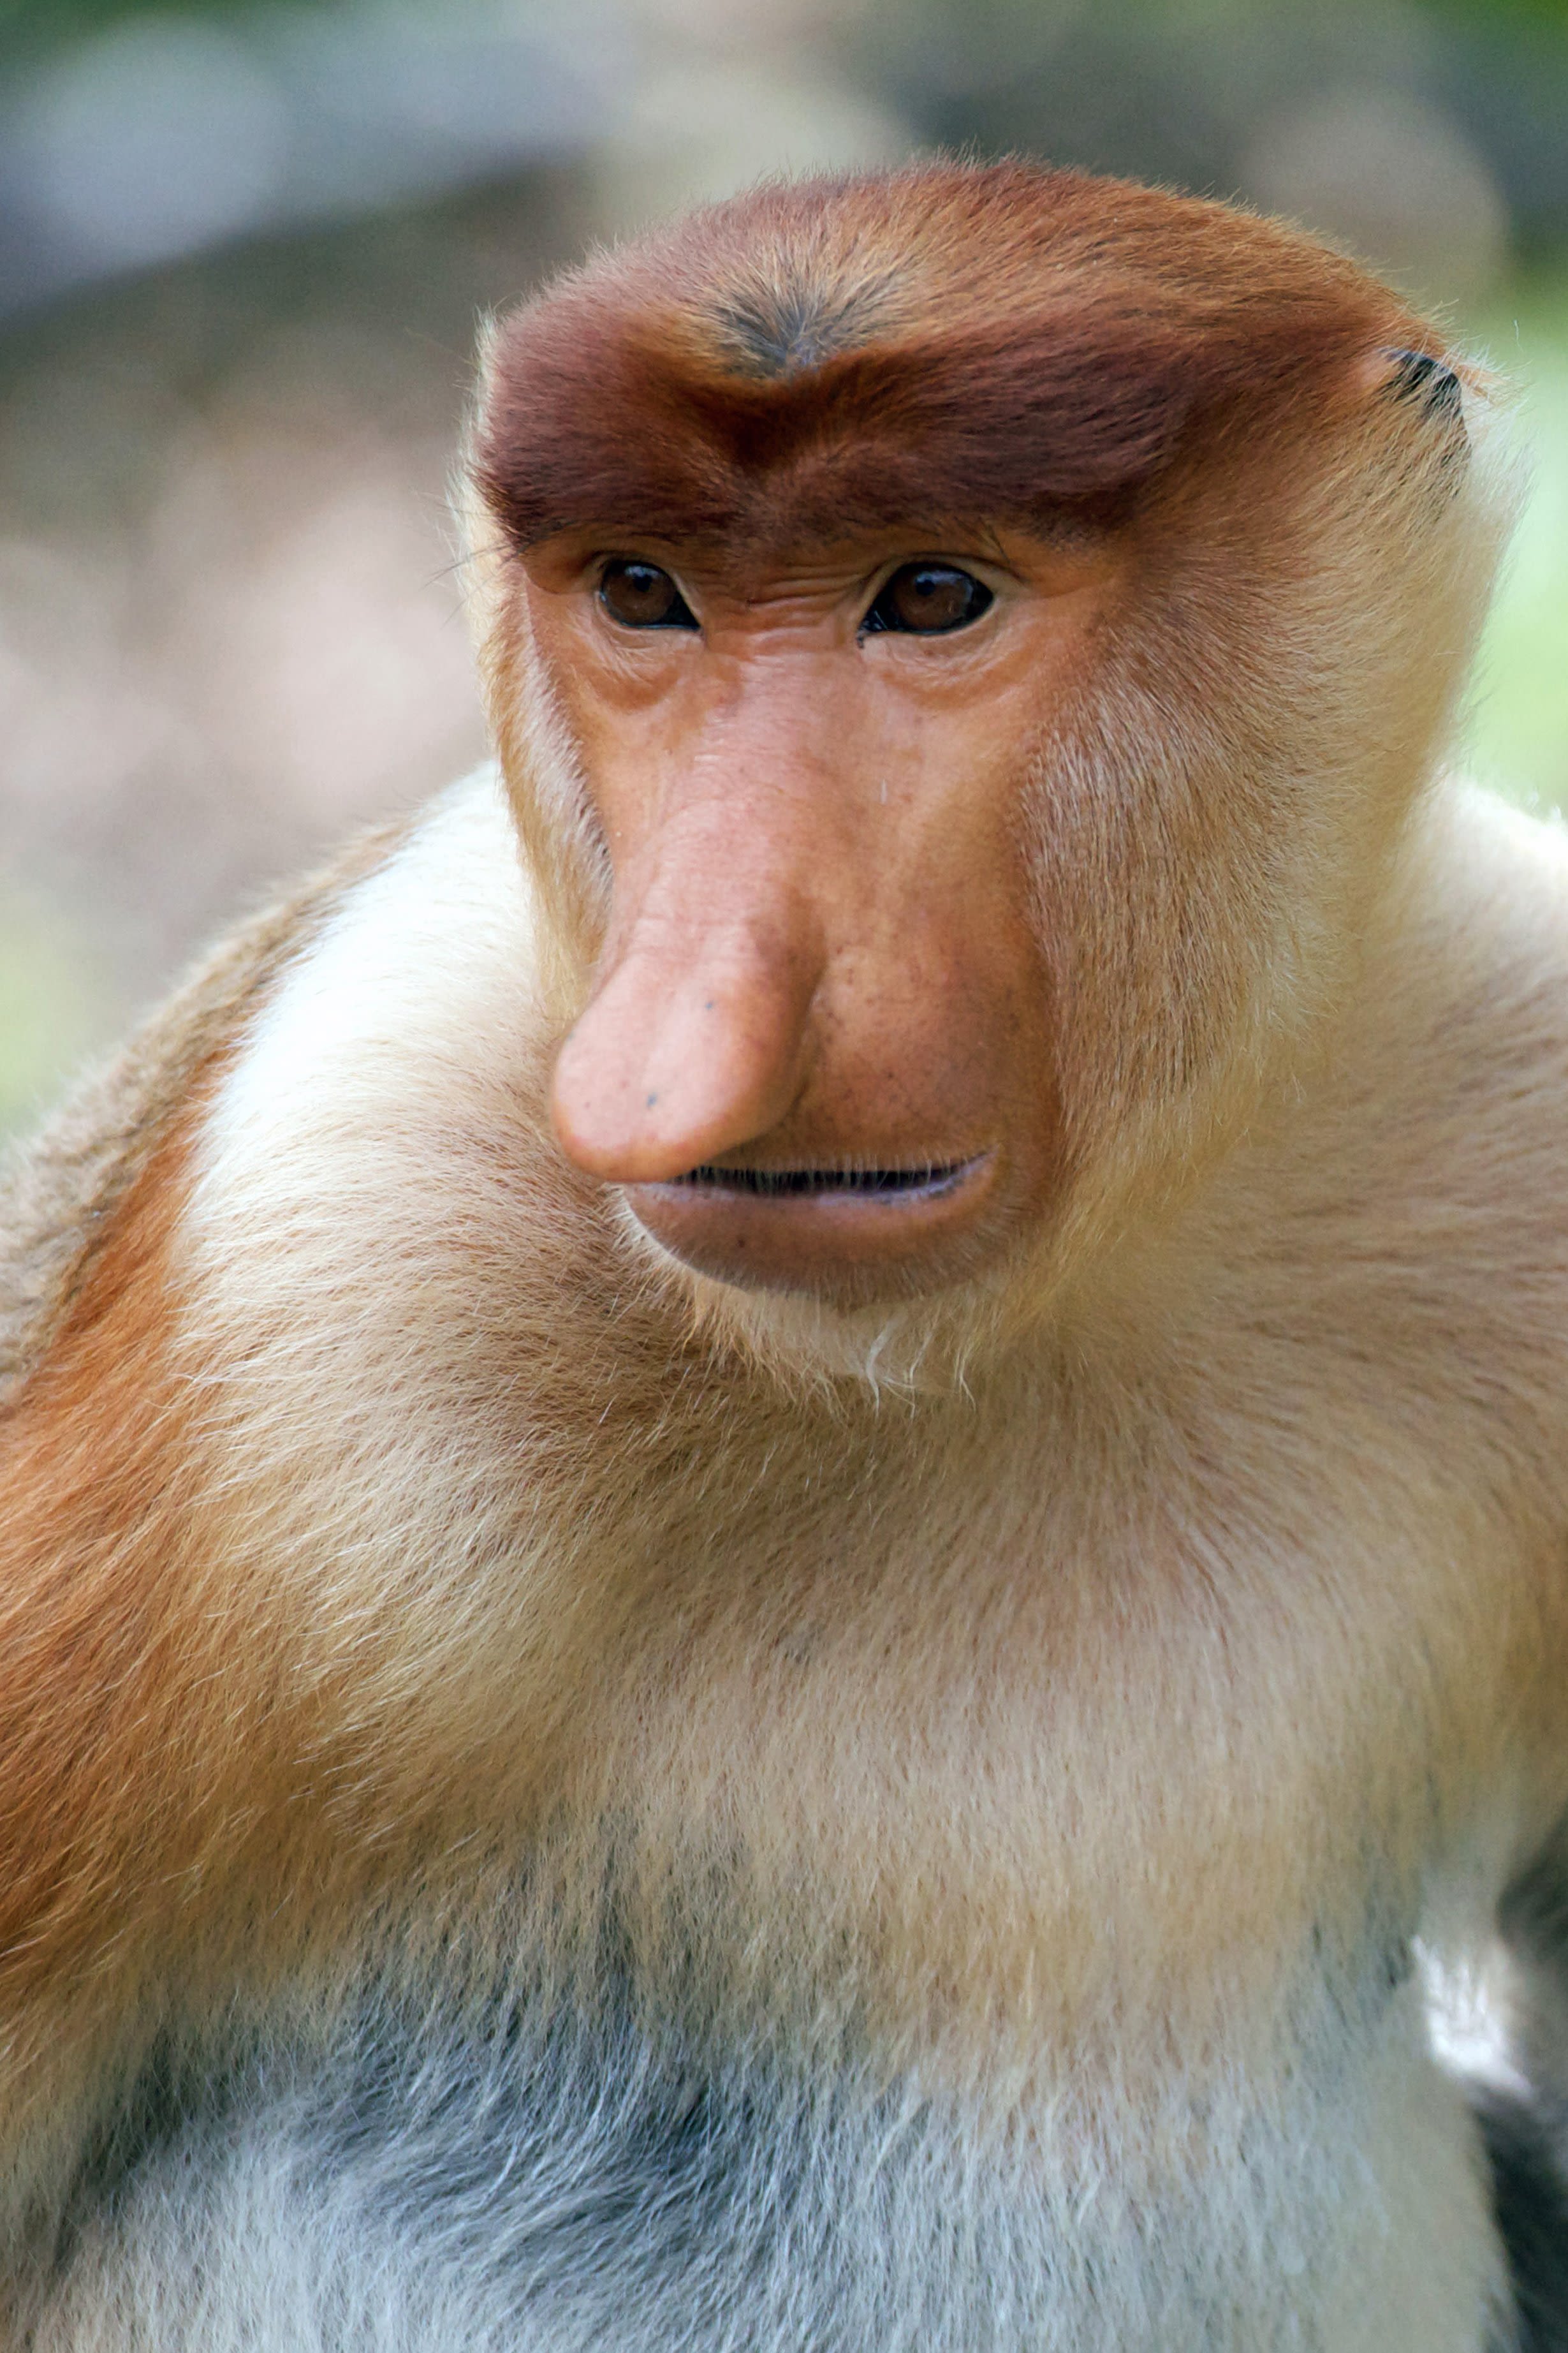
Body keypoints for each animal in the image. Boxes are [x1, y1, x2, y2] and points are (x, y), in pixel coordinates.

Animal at [3, 156, 1568, 2343]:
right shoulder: (326, 1245)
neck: (1018, 1327)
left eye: (932, 595)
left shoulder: (1524, 1126)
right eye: (641, 592)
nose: (660, 1056)